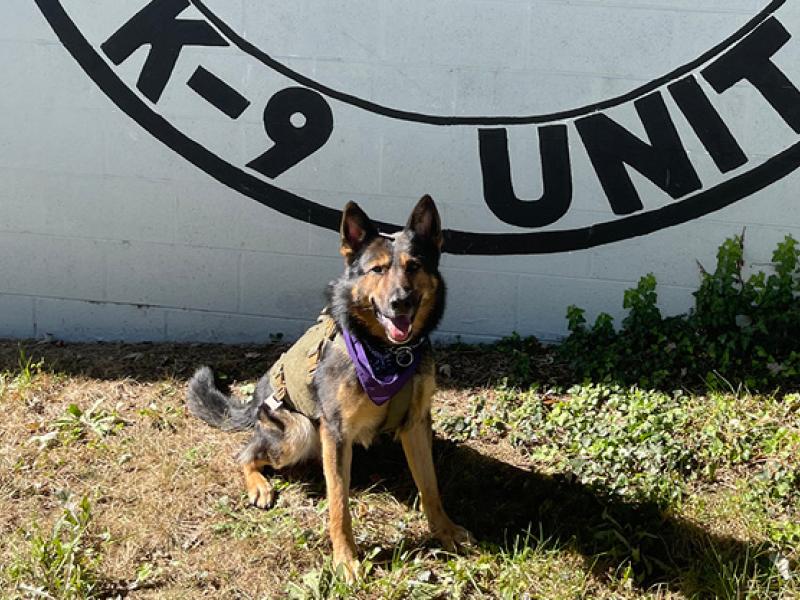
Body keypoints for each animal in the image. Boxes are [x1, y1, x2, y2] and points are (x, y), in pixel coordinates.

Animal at [186, 195, 476, 580]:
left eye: (413, 266)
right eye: (377, 270)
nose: (400, 302)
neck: (386, 354)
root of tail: (257, 399)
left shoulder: (416, 424)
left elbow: (430, 487)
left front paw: (444, 531)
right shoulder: (335, 432)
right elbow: (339, 505)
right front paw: (346, 559)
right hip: (299, 432)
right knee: (246, 454)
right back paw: (259, 485)